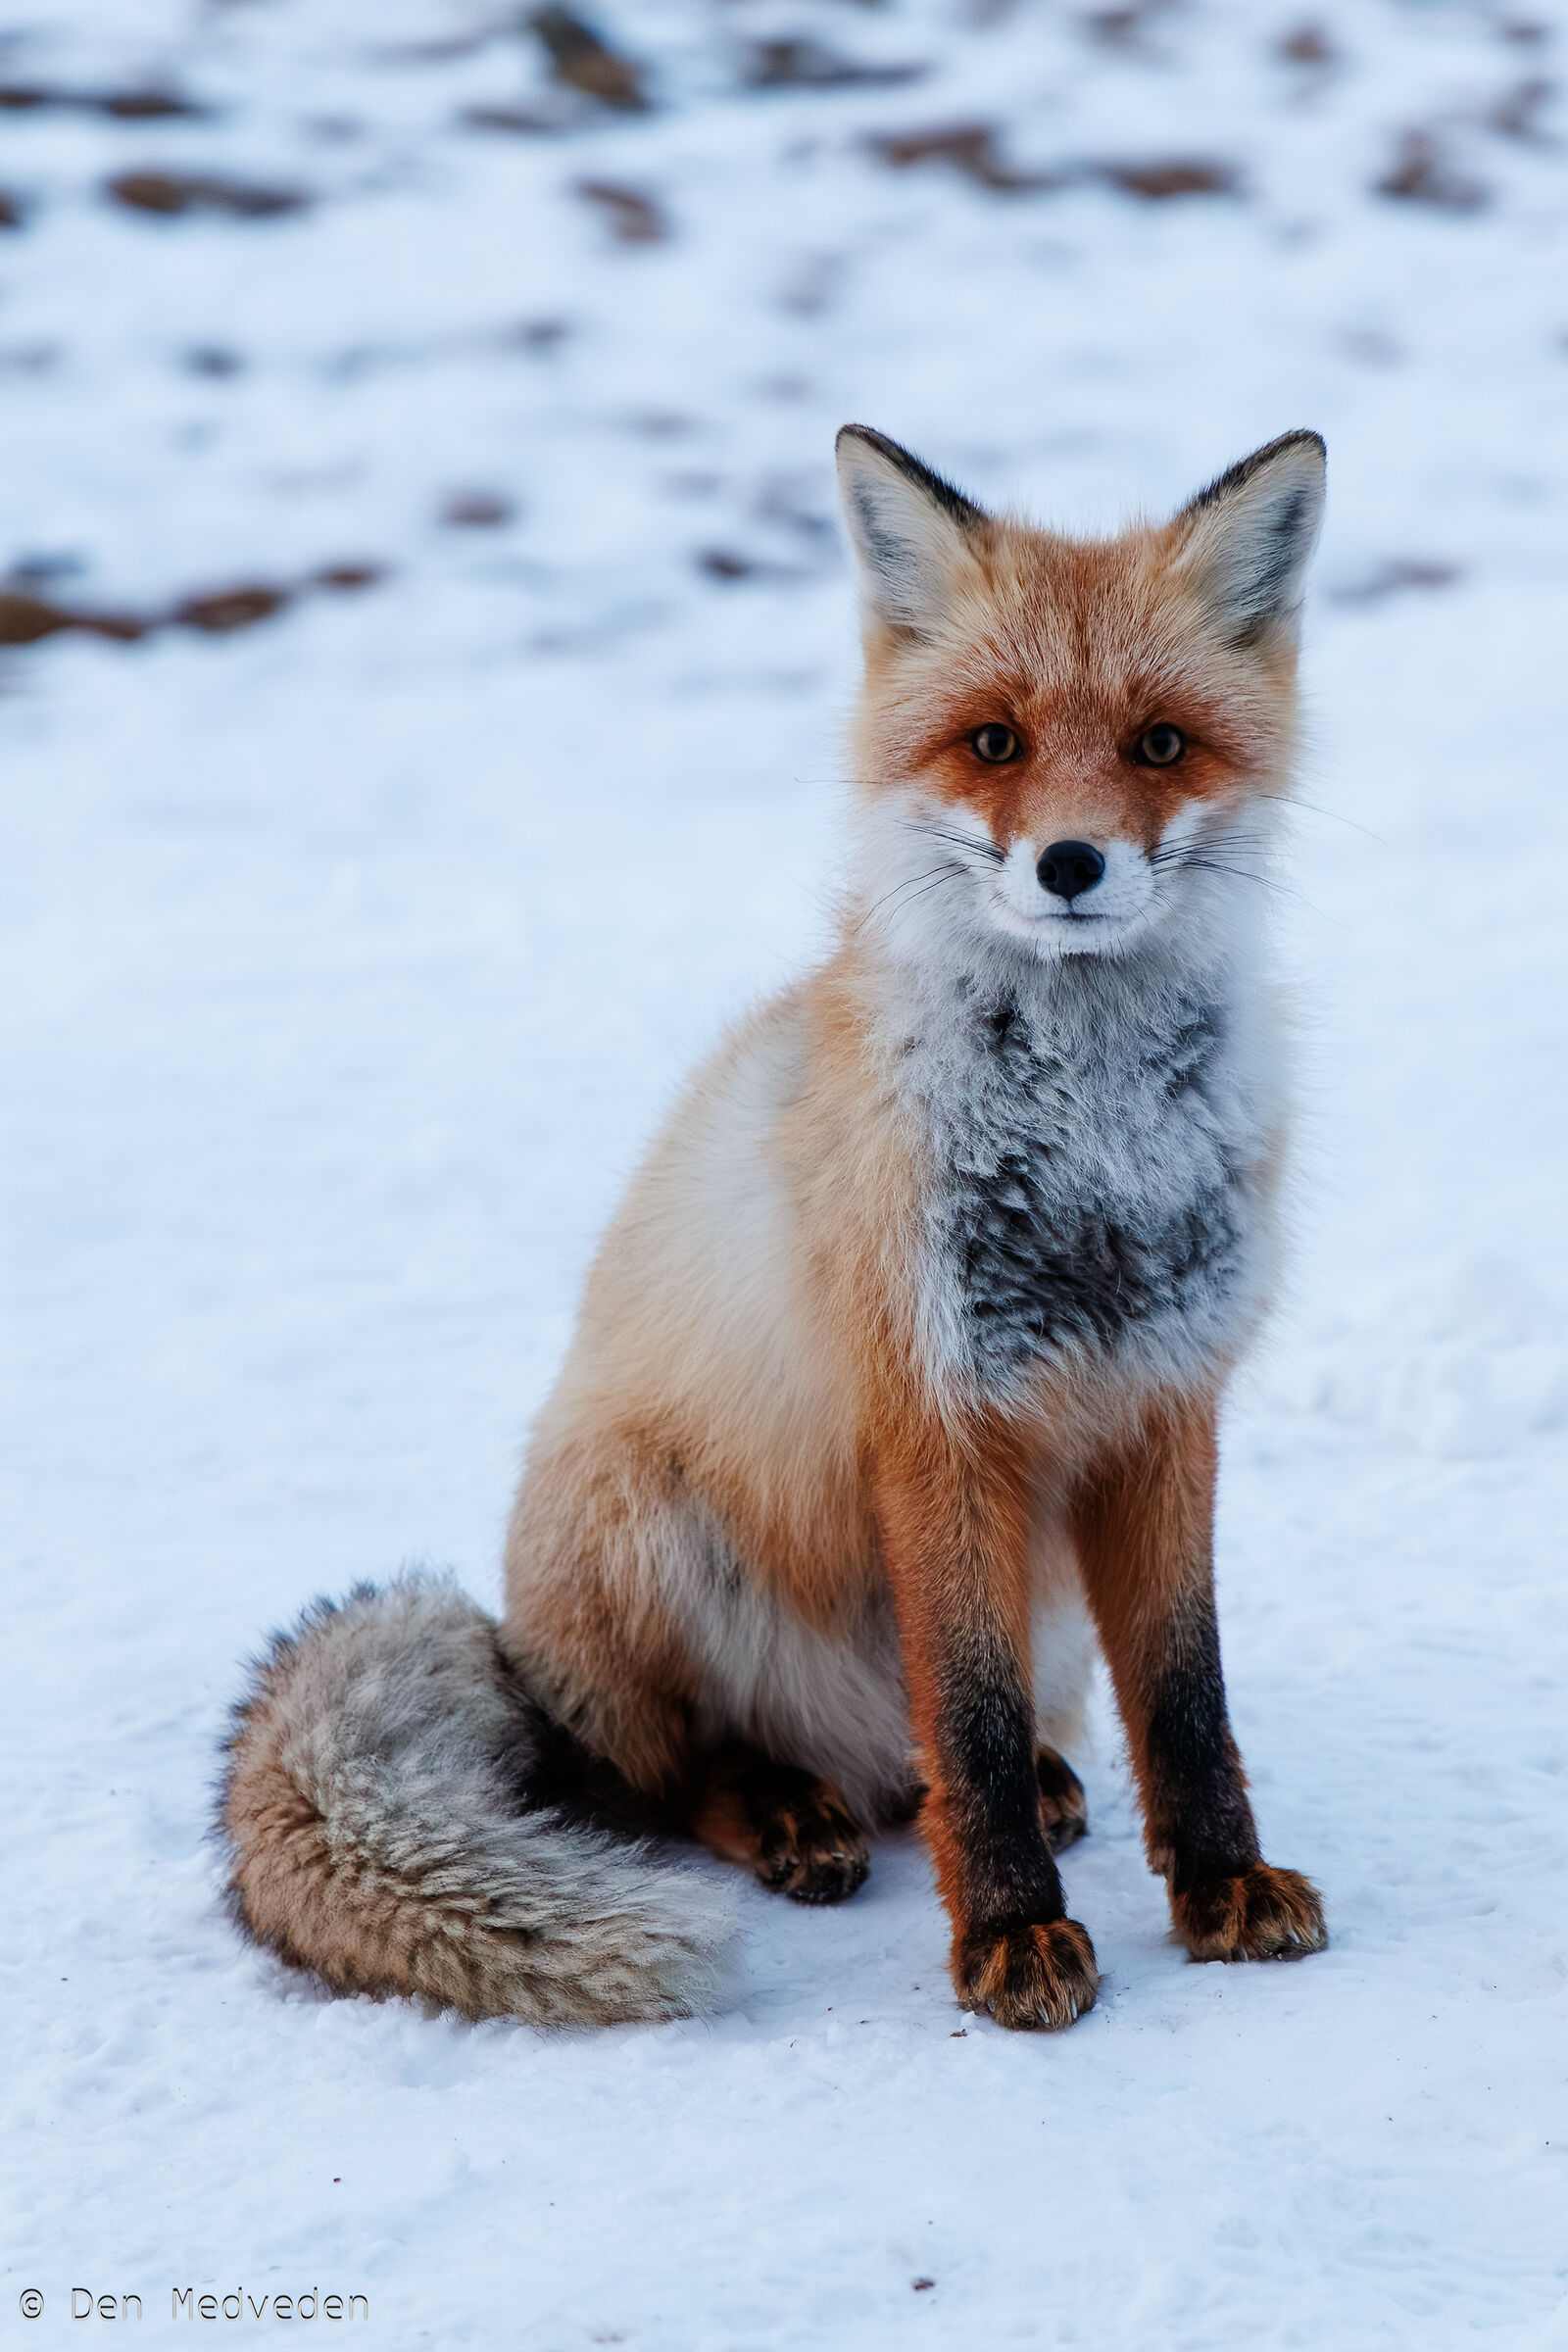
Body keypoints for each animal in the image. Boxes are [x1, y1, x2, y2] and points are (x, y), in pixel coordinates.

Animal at [220, 424, 1330, 2033]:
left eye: (1160, 746)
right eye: (995, 743)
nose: (1069, 864)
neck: (1090, 1149)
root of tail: (515, 1647)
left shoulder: (1167, 1400)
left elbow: (1186, 1702)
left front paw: (1222, 1885)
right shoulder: (932, 1411)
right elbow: (969, 1714)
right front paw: (1010, 1936)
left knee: (944, 1754)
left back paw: (1010, 1783)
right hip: (648, 1522)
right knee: (670, 1773)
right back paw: (785, 1810)